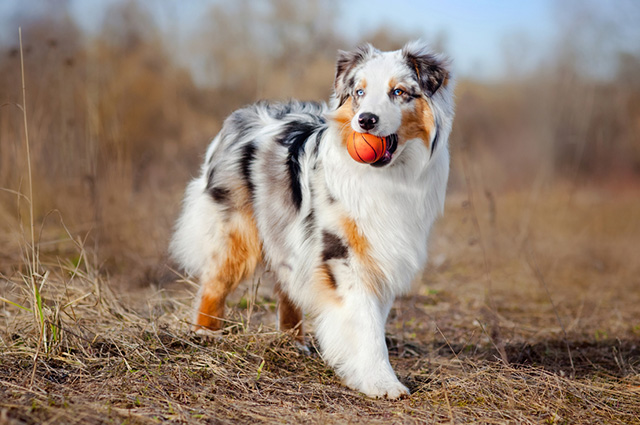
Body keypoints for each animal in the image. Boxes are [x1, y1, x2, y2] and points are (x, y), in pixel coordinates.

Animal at [170, 40, 456, 398]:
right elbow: (365, 323)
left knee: (286, 287)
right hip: (237, 233)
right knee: (214, 283)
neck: (388, 176)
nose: (365, 120)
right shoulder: (341, 254)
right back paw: (205, 334)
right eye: (359, 92)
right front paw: (381, 382)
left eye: (399, 92)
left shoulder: (381, 253)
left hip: (286, 234)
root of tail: (241, 115)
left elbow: (372, 319)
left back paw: (293, 344)